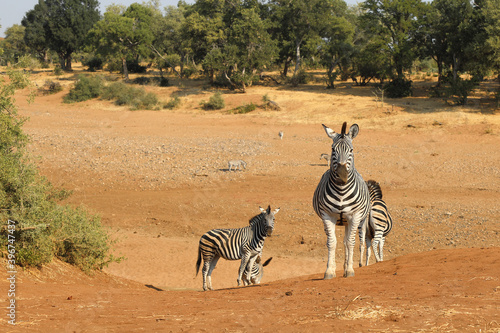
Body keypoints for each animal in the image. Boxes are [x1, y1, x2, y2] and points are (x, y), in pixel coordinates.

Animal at [312, 122, 372, 278]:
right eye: (333, 149)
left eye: (351, 150)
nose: (342, 175)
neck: (341, 191)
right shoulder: (327, 216)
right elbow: (331, 242)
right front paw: (329, 270)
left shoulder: (355, 216)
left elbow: (350, 242)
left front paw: (350, 270)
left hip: (359, 220)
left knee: (349, 242)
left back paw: (346, 268)